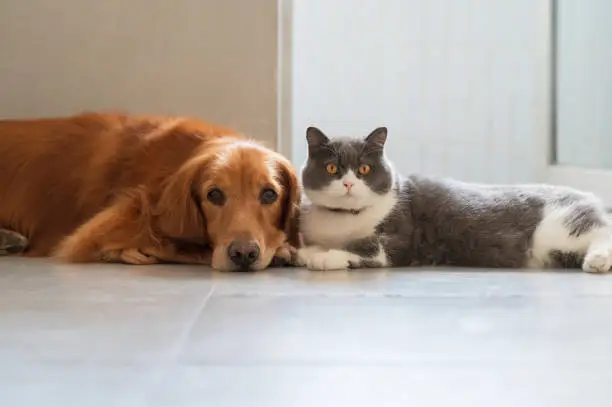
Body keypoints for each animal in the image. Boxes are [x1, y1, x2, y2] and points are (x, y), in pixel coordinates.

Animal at [296, 127, 612, 274]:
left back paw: (597, 261)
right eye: (332, 169)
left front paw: (323, 257)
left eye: (364, 169)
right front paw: (304, 252)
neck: (343, 218)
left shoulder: (397, 239)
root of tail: (589, 196)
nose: (349, 183)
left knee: (601, 231)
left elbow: (364, 248)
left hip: (561, 227)